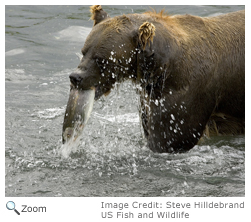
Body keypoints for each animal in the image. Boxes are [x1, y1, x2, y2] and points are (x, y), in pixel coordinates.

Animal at [61, 5, 244, 153]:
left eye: (101, 59)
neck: (161, 69)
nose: (75, 77)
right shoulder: (150, 96)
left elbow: (170, 138)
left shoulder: (187, 93)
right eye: (84, 51)